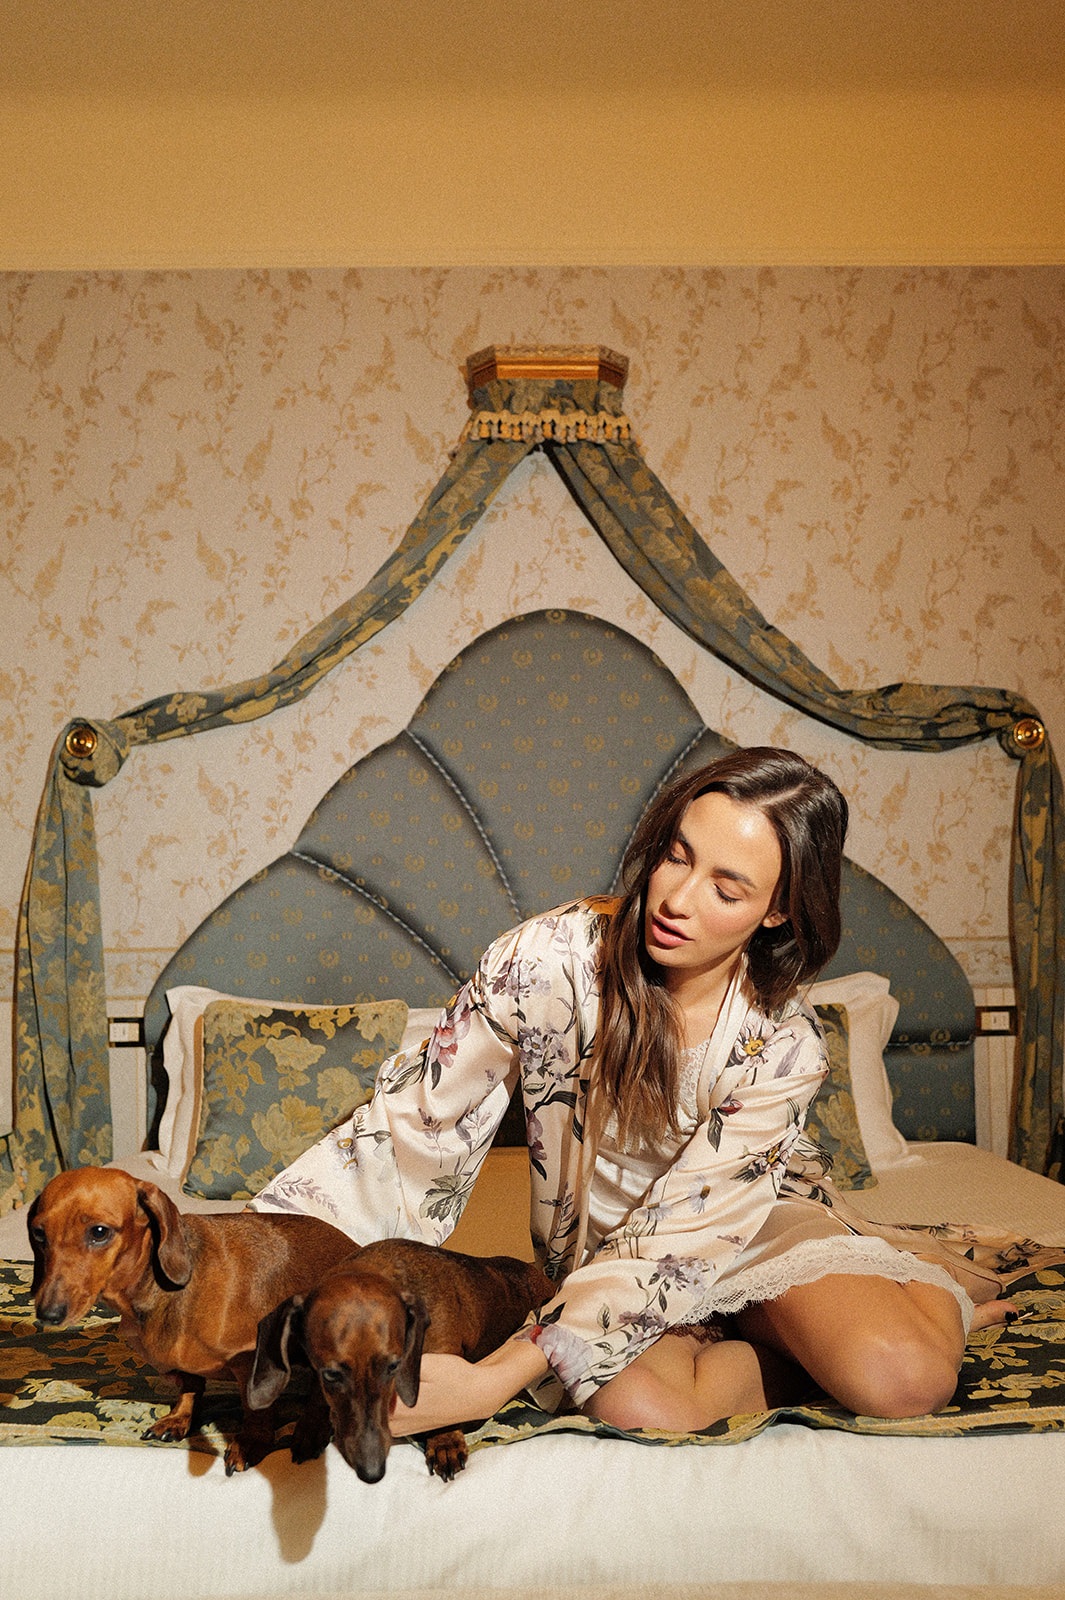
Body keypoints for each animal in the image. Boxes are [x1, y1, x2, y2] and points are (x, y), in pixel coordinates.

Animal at [28, 1165, 358, 1473]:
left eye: (99, 1232)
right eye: (39, 1233)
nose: (47, 1314)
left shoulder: (251, 1363)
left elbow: (255, 1409)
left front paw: (251, 1444)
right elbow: (190, 1387)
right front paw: (179, 1418)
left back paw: (310, 1431)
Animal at [248, 1238, 553, 1482]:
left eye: (393, 1367)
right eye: (330, 1374)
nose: (371, 1471)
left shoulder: (446, 1355)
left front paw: (444, 1443)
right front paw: (311, 1427)